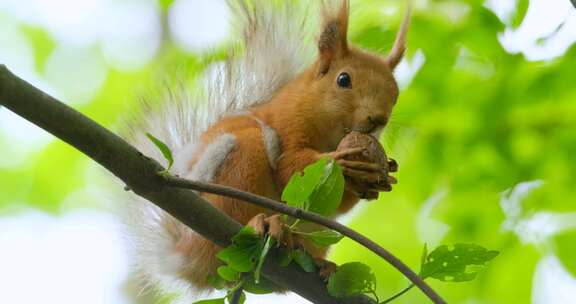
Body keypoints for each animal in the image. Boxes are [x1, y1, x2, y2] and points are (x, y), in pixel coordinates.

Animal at [121, 0, 410, 296]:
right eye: (343, 79)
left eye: (395, 94)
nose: (378, 119)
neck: (331, 133)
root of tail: (187, 258)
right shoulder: (287, 122)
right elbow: (290, 168)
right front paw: (342, 162)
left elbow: (339, 202)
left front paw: (379, 175)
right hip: (237, 170)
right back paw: (262, 223)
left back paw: (319, 262)